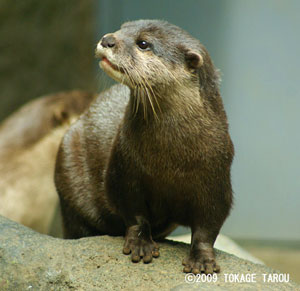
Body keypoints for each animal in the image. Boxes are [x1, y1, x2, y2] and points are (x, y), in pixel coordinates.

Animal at [55, 19, 234, 274]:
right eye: (122, 28)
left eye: (143, 43)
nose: (108, 39)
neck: (169, 160)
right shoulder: (124, 169)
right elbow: (134, 211)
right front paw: (141, 243)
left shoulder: (216, 179)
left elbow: (208, 227)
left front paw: (202, 259)